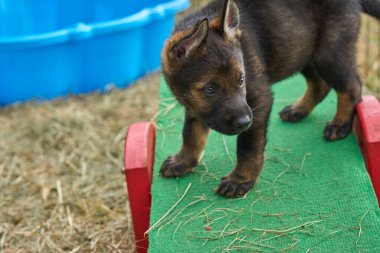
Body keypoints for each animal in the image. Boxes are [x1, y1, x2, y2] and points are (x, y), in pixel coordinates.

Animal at [159, 0, 378, 197]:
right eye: (210, 89)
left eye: (242, 80)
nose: (244, 122)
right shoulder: (195, 107)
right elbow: (191, 133)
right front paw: (183, 161)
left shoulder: (259, 100)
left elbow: (248, 146)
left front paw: (240, 179)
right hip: (303, 51)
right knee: (320, 86)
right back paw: (298, 110)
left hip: (329, 53)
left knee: (351, 86)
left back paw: (339, 125)